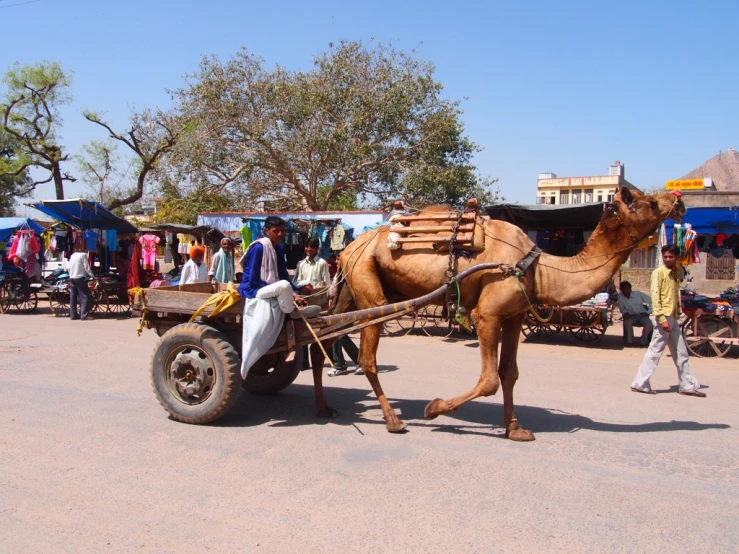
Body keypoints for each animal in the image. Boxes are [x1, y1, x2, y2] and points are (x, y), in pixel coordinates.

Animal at [310, 185, 684, 440]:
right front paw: (434, 408)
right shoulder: (487, 315)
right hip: (370, 288)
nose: (677, 199)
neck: (537, 267)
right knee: (367, 358)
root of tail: (349, 249)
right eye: (647, 202)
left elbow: (509, 372)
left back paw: (326, 407)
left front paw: (515, 429)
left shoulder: (514, 316)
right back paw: (393, 420)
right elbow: (489, 379)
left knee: (321, 339)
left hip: (356, 286)